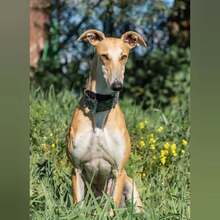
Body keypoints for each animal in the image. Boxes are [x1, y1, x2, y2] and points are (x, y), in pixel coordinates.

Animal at [66, 28, 147, 211]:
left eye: (124, 56)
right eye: (104, 56)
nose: (117, 85)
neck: (100, 110)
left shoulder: (118, 171)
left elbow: (111, 209)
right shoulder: (76, 170)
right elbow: (78, 207)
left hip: (130, 185)